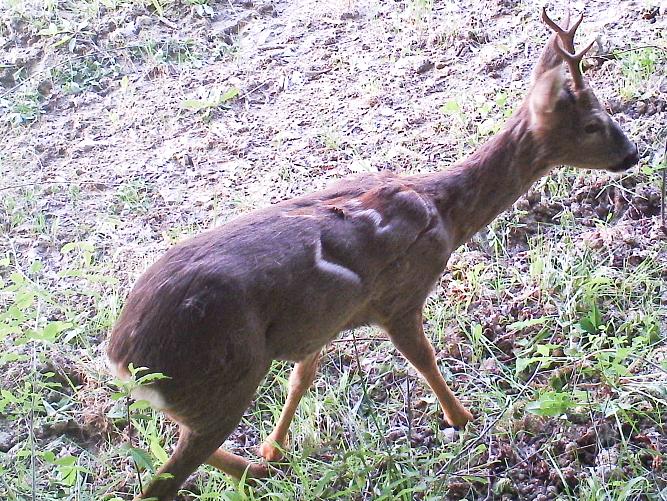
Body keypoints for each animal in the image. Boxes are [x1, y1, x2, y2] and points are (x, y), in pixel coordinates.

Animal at [107, 8, 640, 500]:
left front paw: (274, 447)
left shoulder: (320, 324)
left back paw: (260, 469)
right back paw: (254, 474)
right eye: (593, 124)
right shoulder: (398, 297)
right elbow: (423, 359)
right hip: (220, 382)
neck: (444, 210)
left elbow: (302, 377)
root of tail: (121, 357)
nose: (631, 154)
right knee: (160, 482)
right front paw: (462, 417)